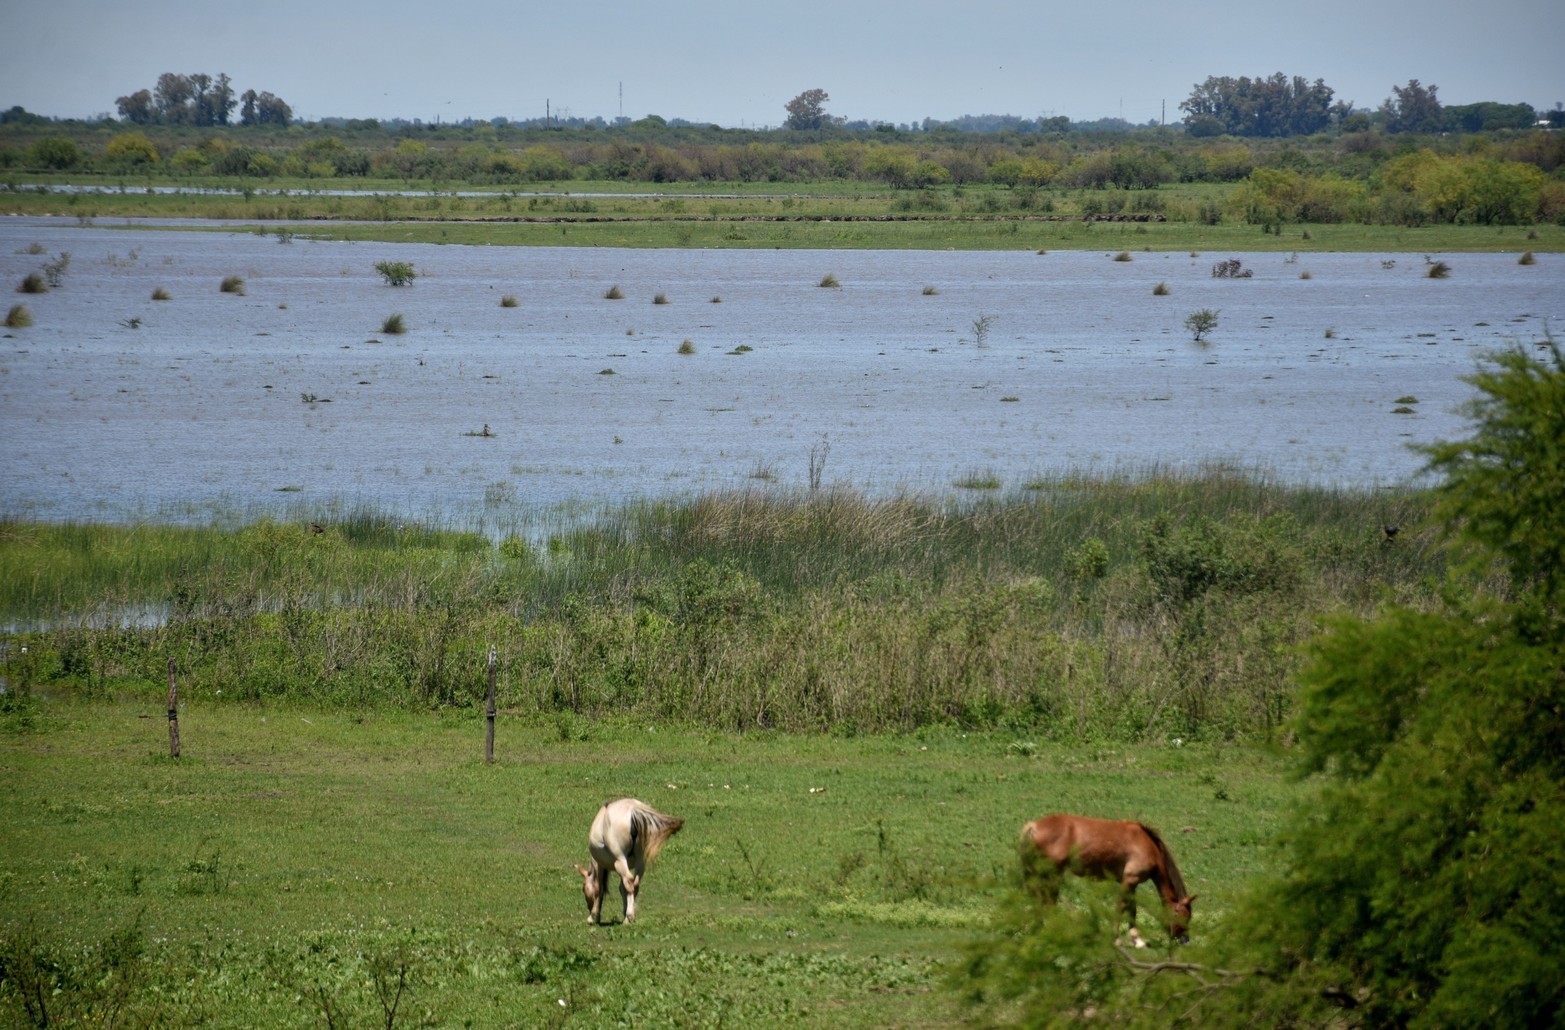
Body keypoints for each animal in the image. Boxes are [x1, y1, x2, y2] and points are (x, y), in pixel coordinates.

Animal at [1020, 807, 1189, 945]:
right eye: (1184, 916)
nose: (1184, 940)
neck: (1147, 845)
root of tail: (1033, 827)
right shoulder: (1130, 879)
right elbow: (1122, 906)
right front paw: (1116, 938)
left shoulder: (1131, 883)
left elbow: (1132, 908)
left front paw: (1136, 939)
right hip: (1052, 875)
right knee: (1048, 902)